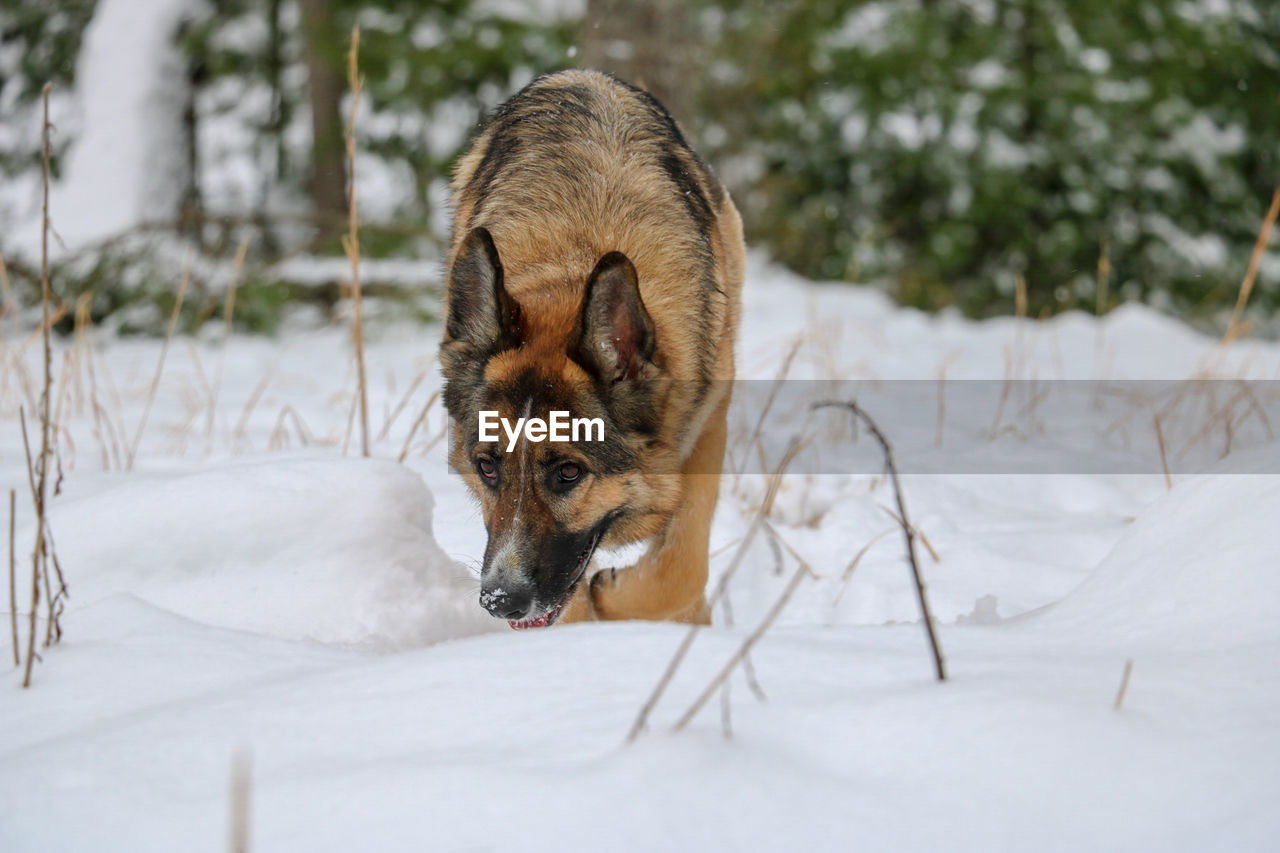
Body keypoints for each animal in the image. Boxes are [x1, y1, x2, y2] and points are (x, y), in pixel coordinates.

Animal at [440, 69, 747, 627]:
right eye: (487, 466)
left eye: (569, 472)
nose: (500, 601)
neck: (578, 259)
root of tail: (580, 73)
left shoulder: (710, 419)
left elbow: (682, 565)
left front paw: (621, 598)